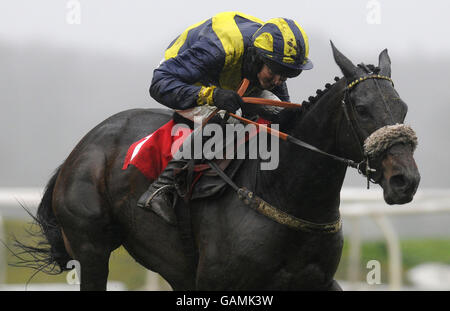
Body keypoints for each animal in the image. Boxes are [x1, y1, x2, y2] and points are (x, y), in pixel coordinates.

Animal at [15, 42, 420, 292]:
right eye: (363, 109)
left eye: (402, 108)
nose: (406, 180)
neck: (281, 191)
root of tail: (79, 149)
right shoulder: (216, 282)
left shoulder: (317, 281)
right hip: (91, 247)